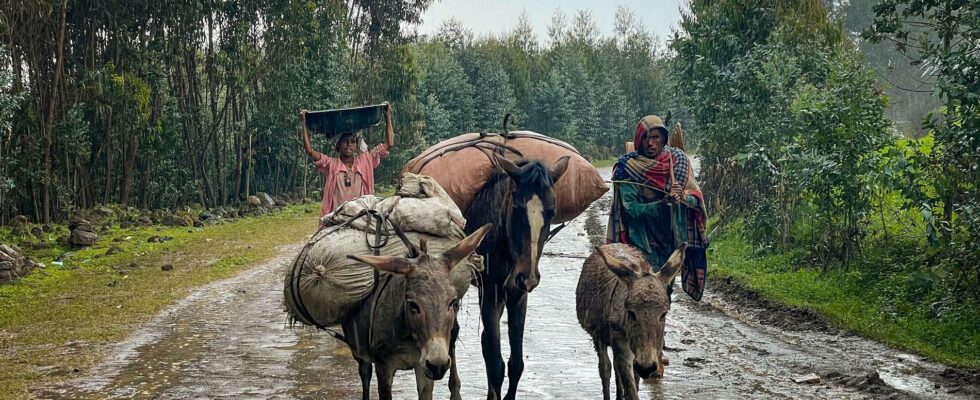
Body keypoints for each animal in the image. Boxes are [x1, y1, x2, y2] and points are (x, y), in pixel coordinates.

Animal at [464, 152, 572, 398]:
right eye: (517, 207)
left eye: (552, 212)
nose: (528, 277)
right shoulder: (490, 294)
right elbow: (496, 366)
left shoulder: (517, 296)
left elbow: (516, 365)